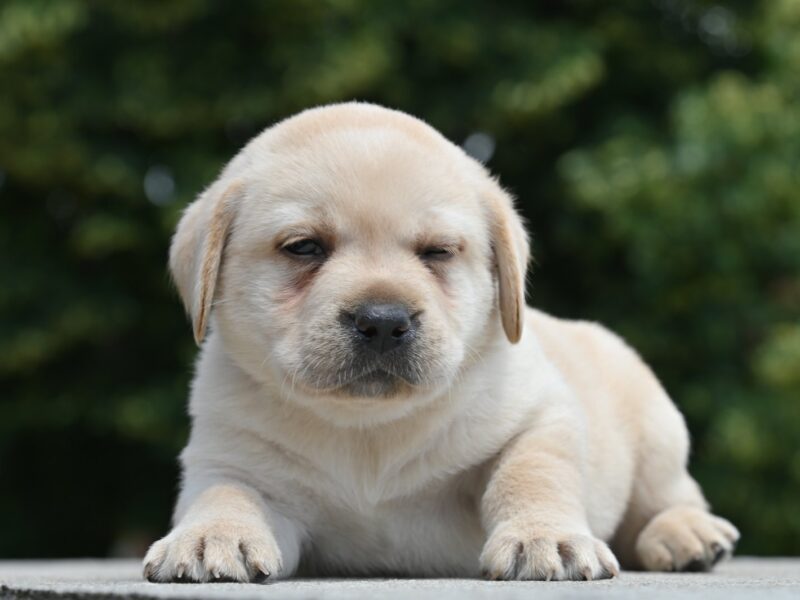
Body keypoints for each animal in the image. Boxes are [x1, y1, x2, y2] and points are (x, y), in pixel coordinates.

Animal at [142, 102, 736, 580]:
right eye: (304, 247)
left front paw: (546, 537)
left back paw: (687, 534)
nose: (383, 320)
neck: (368, 430)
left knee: (668, 498)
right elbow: (225, 493)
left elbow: (530, 473)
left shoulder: (543, 416)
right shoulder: (230, 458)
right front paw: (209, 537)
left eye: (438, 252)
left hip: (658, 435)